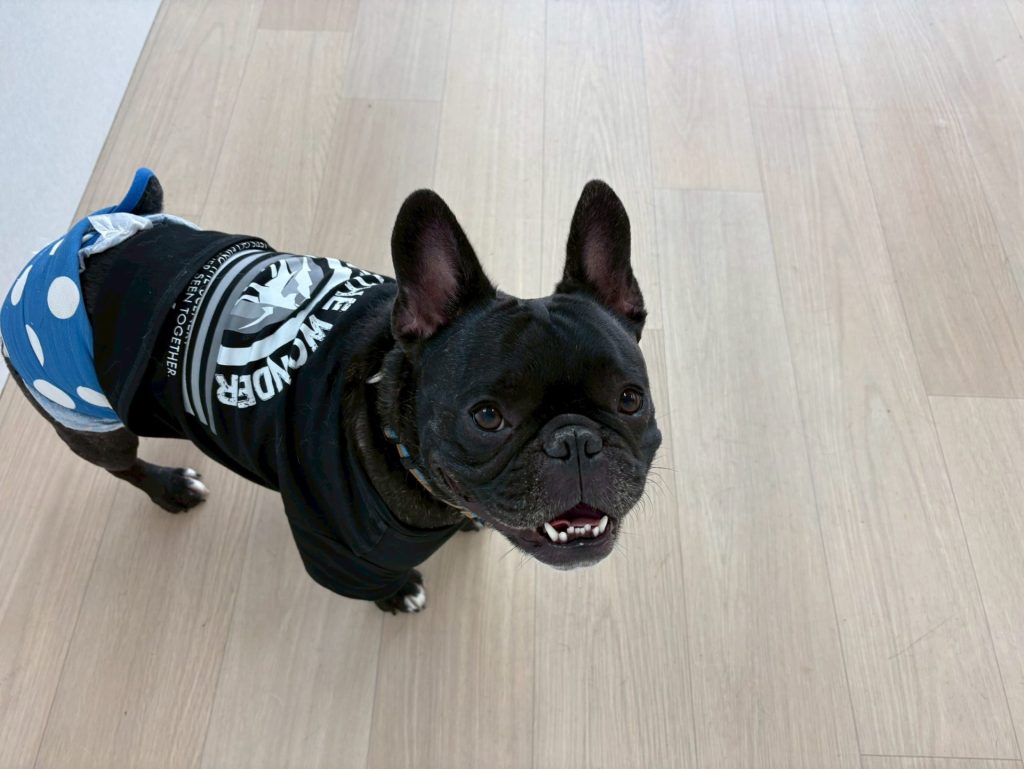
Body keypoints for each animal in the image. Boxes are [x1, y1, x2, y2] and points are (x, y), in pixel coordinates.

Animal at [0, 169, 661, 614]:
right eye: (487, 417)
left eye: (631, 401)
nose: (576, 441)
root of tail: (75, 240)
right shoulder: (334, 544)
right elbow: (368, 581)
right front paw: (398, 594)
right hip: (86, 417)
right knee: (123, 465)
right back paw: (171, 488)